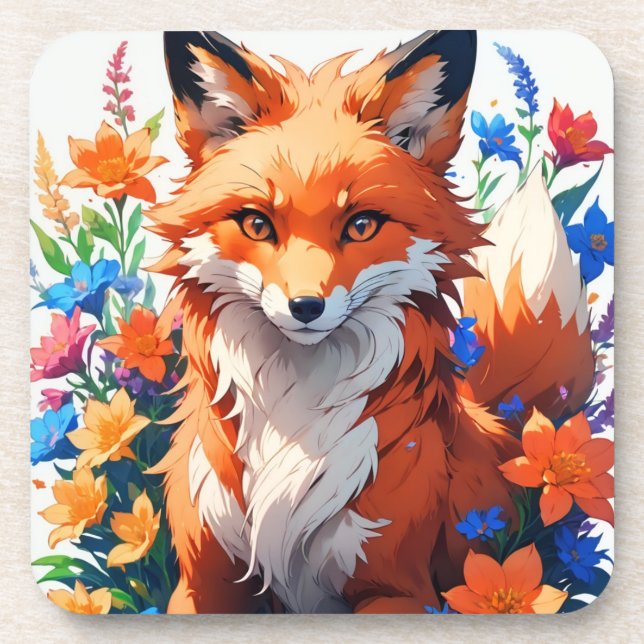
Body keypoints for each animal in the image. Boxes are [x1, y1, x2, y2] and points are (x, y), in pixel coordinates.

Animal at [147, 30, 595, 613]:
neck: (294, 420)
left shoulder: (397, 588)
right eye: (257, 224)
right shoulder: (205, 586)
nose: (306, 307)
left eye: (361, 225)